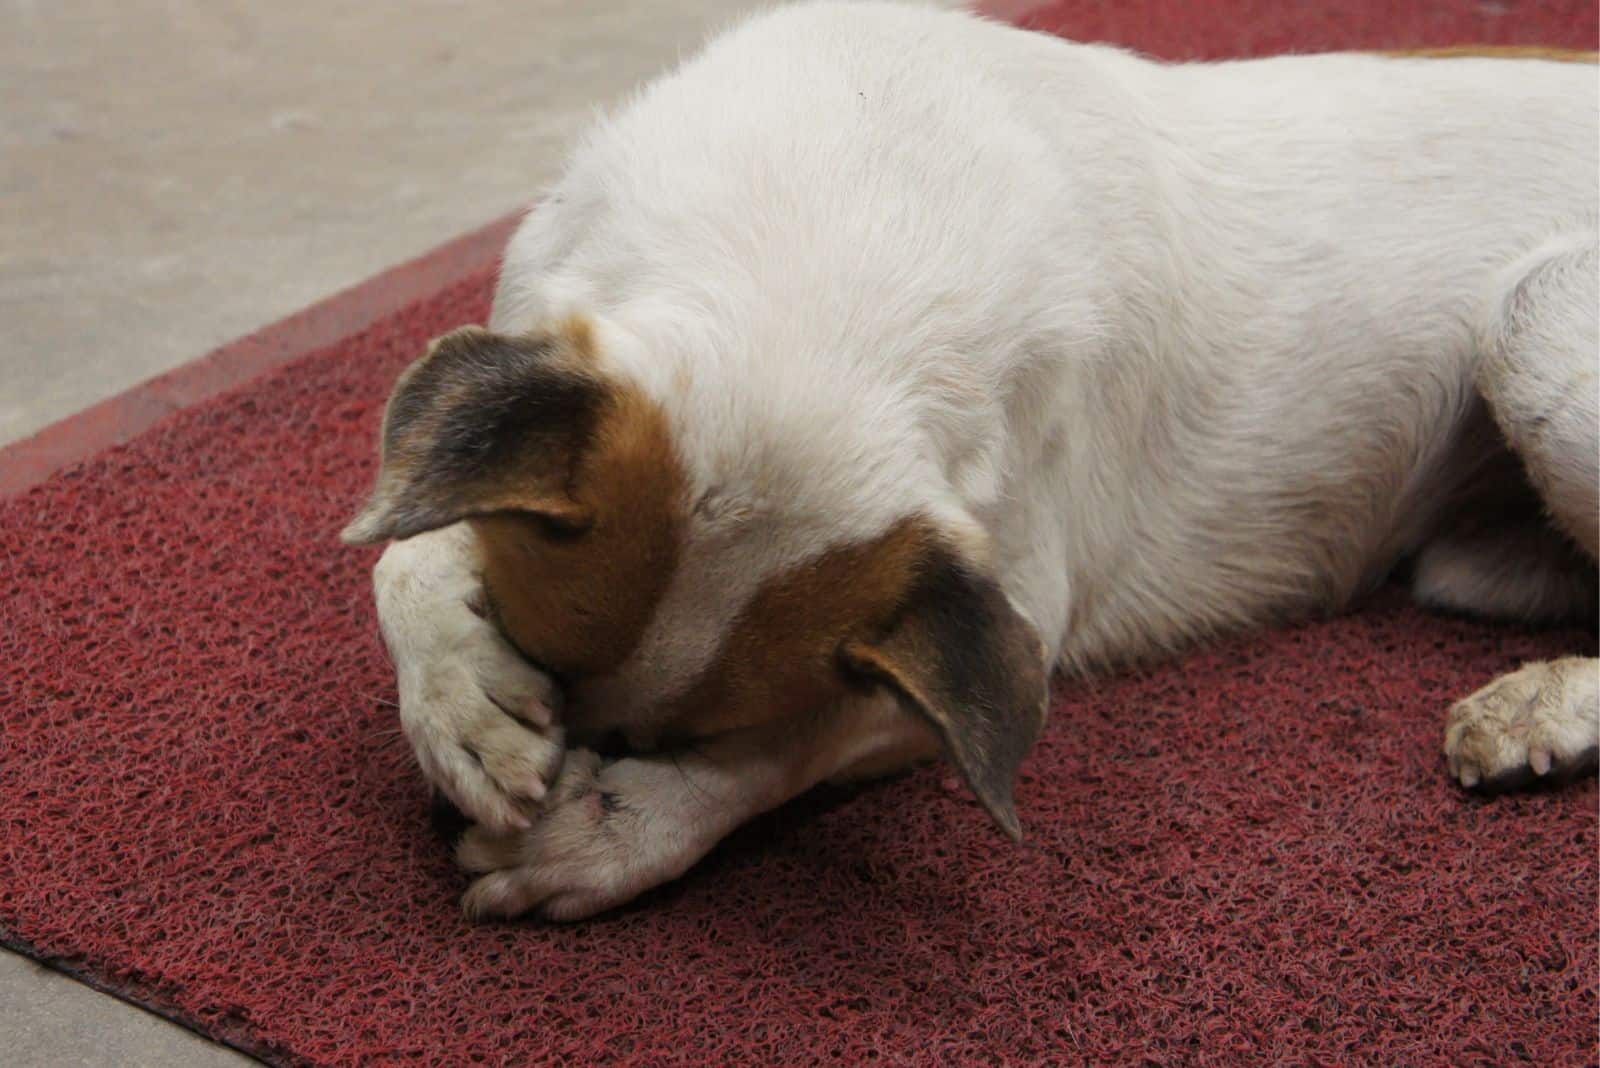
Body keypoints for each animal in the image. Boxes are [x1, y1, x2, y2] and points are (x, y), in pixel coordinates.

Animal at [340, 0, 1600, 920]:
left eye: (684, 740)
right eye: (538, 650)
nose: (598, 755)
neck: (837, 240)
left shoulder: (1008, 622)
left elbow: (778, 750)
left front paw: (616, 832)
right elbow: (394, 547)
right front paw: (461, 693)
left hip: (1535, 315)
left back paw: (1541, 709)